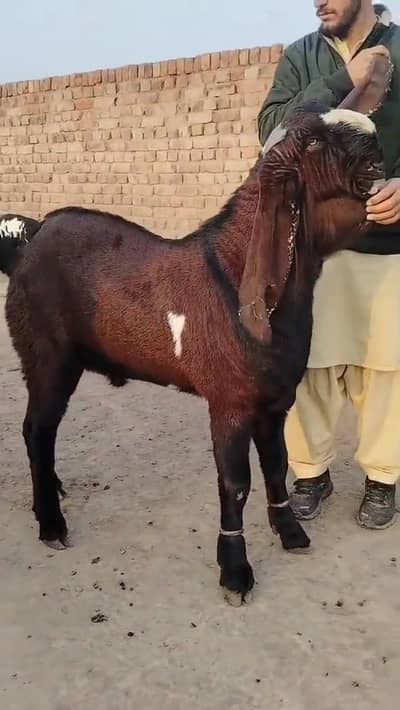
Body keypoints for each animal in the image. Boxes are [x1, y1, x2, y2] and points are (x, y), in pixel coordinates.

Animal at [3, 99, 385, 605]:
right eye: (315, 141)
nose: (375, 138)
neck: (234, 275)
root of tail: (32, 239)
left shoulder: (275, 402)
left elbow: (276, 466)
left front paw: (291, 533)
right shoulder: (229, 403)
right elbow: (236, 484)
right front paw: (235, 572)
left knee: (42, 434)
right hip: (47, 357)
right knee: (36, 429)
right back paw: (50, 523)